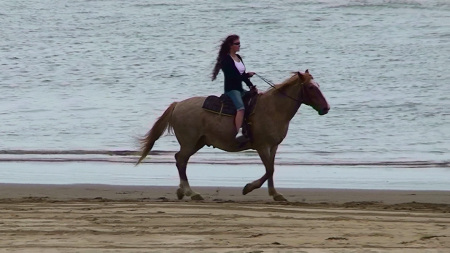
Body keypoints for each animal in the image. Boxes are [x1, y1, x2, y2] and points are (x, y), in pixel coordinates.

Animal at [135, 69, 328, 202]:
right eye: (311, 87)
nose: (326, 108)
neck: (273, 108)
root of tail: (178, 105)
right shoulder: (261, 146)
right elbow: (269, 169)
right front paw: (248, 188)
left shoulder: (273, 146)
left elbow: (271, 169)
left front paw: (275, 194)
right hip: (189, 142)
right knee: (181, 160)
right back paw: (191, 192)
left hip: (197, 142)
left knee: (180, 159)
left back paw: (182, 191)